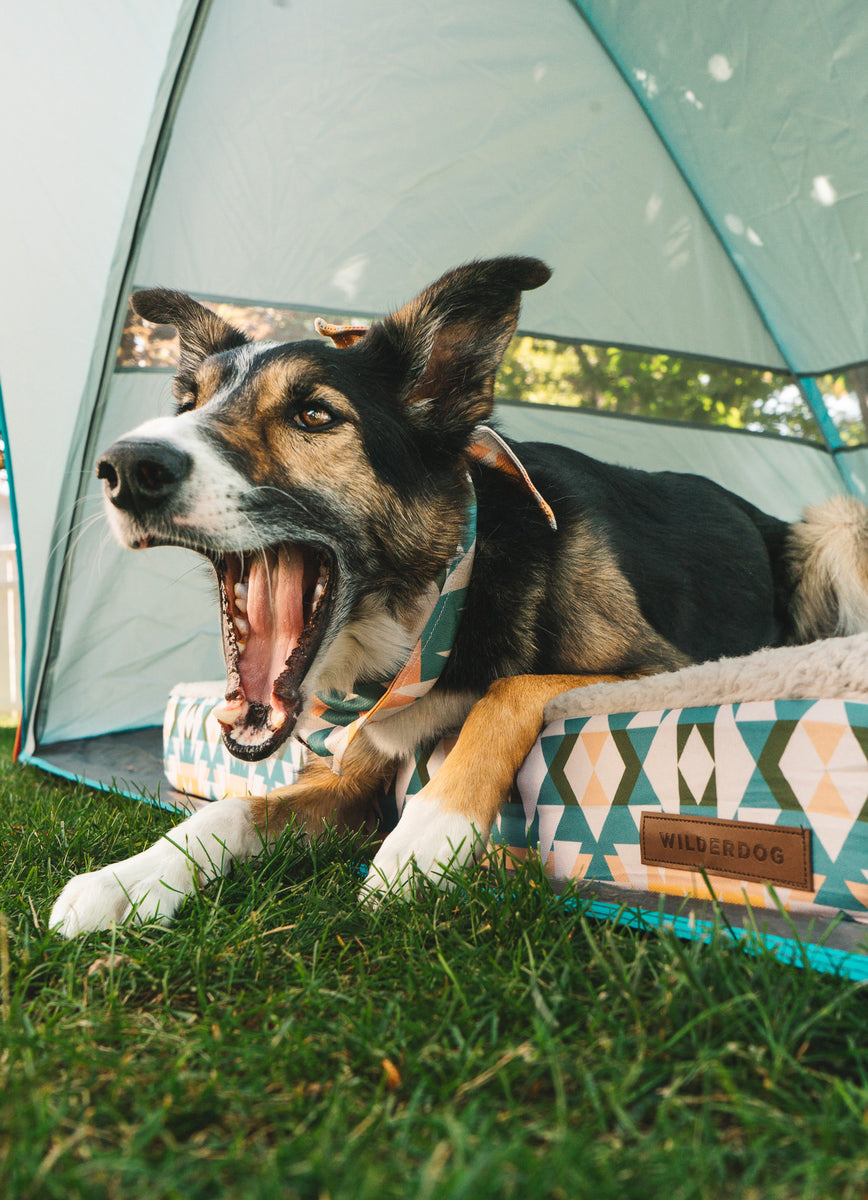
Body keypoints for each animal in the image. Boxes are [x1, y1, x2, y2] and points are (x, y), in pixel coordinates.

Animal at [45, 258, 868, 936]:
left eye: (315, 414)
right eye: (186, 405)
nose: (126, 467)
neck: (430, 608)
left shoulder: (661, 667)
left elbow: (507, 690)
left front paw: (426, 836)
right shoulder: (347, 774)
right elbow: (229, 809)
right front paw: (128, 880)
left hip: (835, 526)